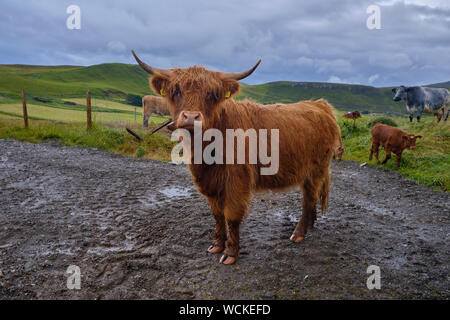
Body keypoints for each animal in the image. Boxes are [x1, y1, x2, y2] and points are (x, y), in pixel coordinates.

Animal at [133, 50, 342, 264]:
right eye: (176, 91)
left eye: (212, 94)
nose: (191, 117)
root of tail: (320, 104)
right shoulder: (211, 183)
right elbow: (217, 214)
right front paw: (217, 244)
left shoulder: (237, 180)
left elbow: (231, 215)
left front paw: (230, 253)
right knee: (312, 197)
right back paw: (309, 226)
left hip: (317, 169)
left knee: (309, 198)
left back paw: (299, 233)